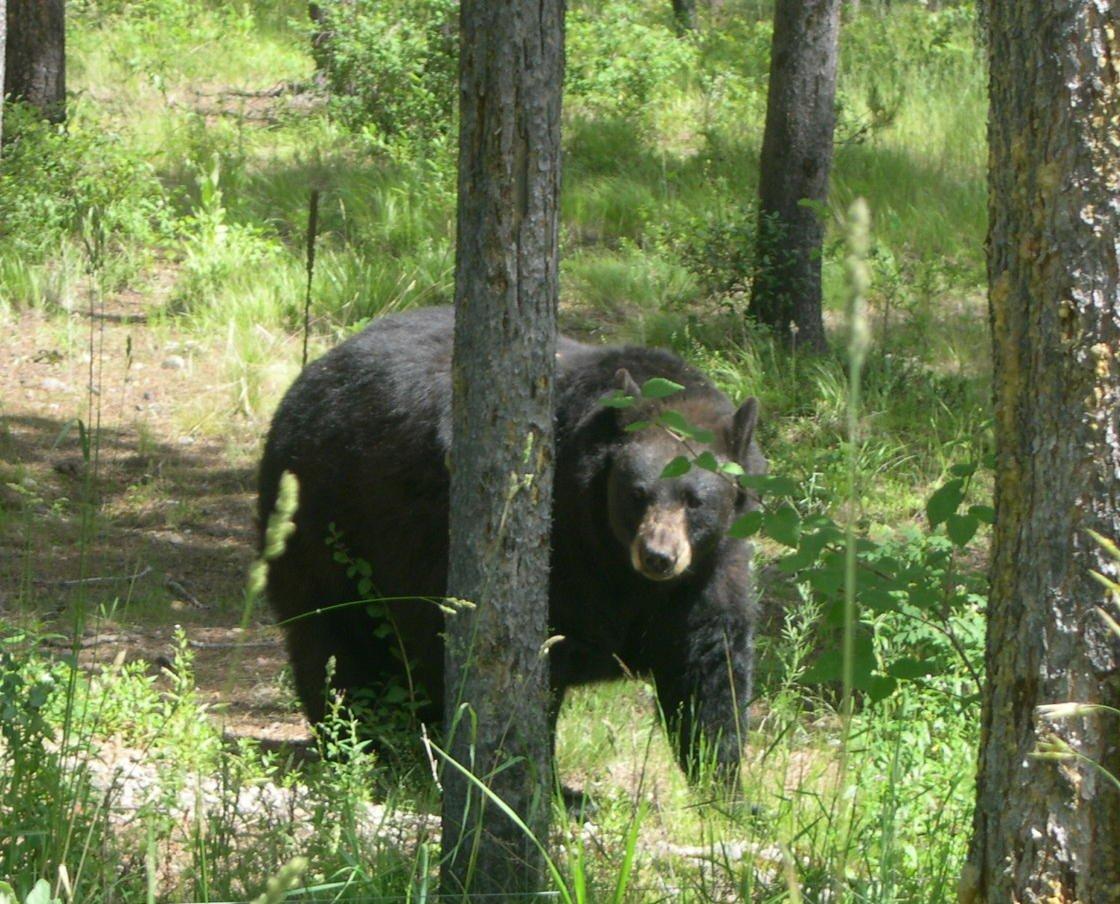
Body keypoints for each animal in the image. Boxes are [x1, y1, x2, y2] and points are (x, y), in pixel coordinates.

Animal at [257, 306, 766, 779]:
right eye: (636, 493)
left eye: (695, 500)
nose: (659, 556)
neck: (617, 565)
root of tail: (312, 373)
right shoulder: (562, 559)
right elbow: (532, 671)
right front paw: (552, 788)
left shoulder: (709, 571)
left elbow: (709, 668)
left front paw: (724, 786)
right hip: (331, 524)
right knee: (336, 642)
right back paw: (367, 743)